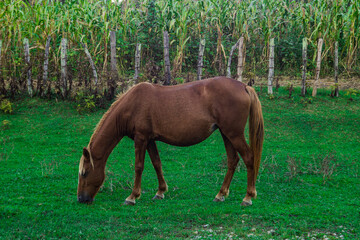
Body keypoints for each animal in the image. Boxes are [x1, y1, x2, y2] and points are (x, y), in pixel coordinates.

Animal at [77, 77, 262, 206]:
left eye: (85, 173)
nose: (81, 199)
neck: (132, 104)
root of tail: (244, 86)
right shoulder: (149, 140)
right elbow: (156, 163)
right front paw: (160, 192)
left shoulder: (141, 139)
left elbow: (139, 166)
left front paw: (132, 196)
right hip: (226, 134)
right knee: (233, 160)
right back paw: (221, 194)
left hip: (234, 134)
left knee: (248, 158)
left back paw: (248, 197)